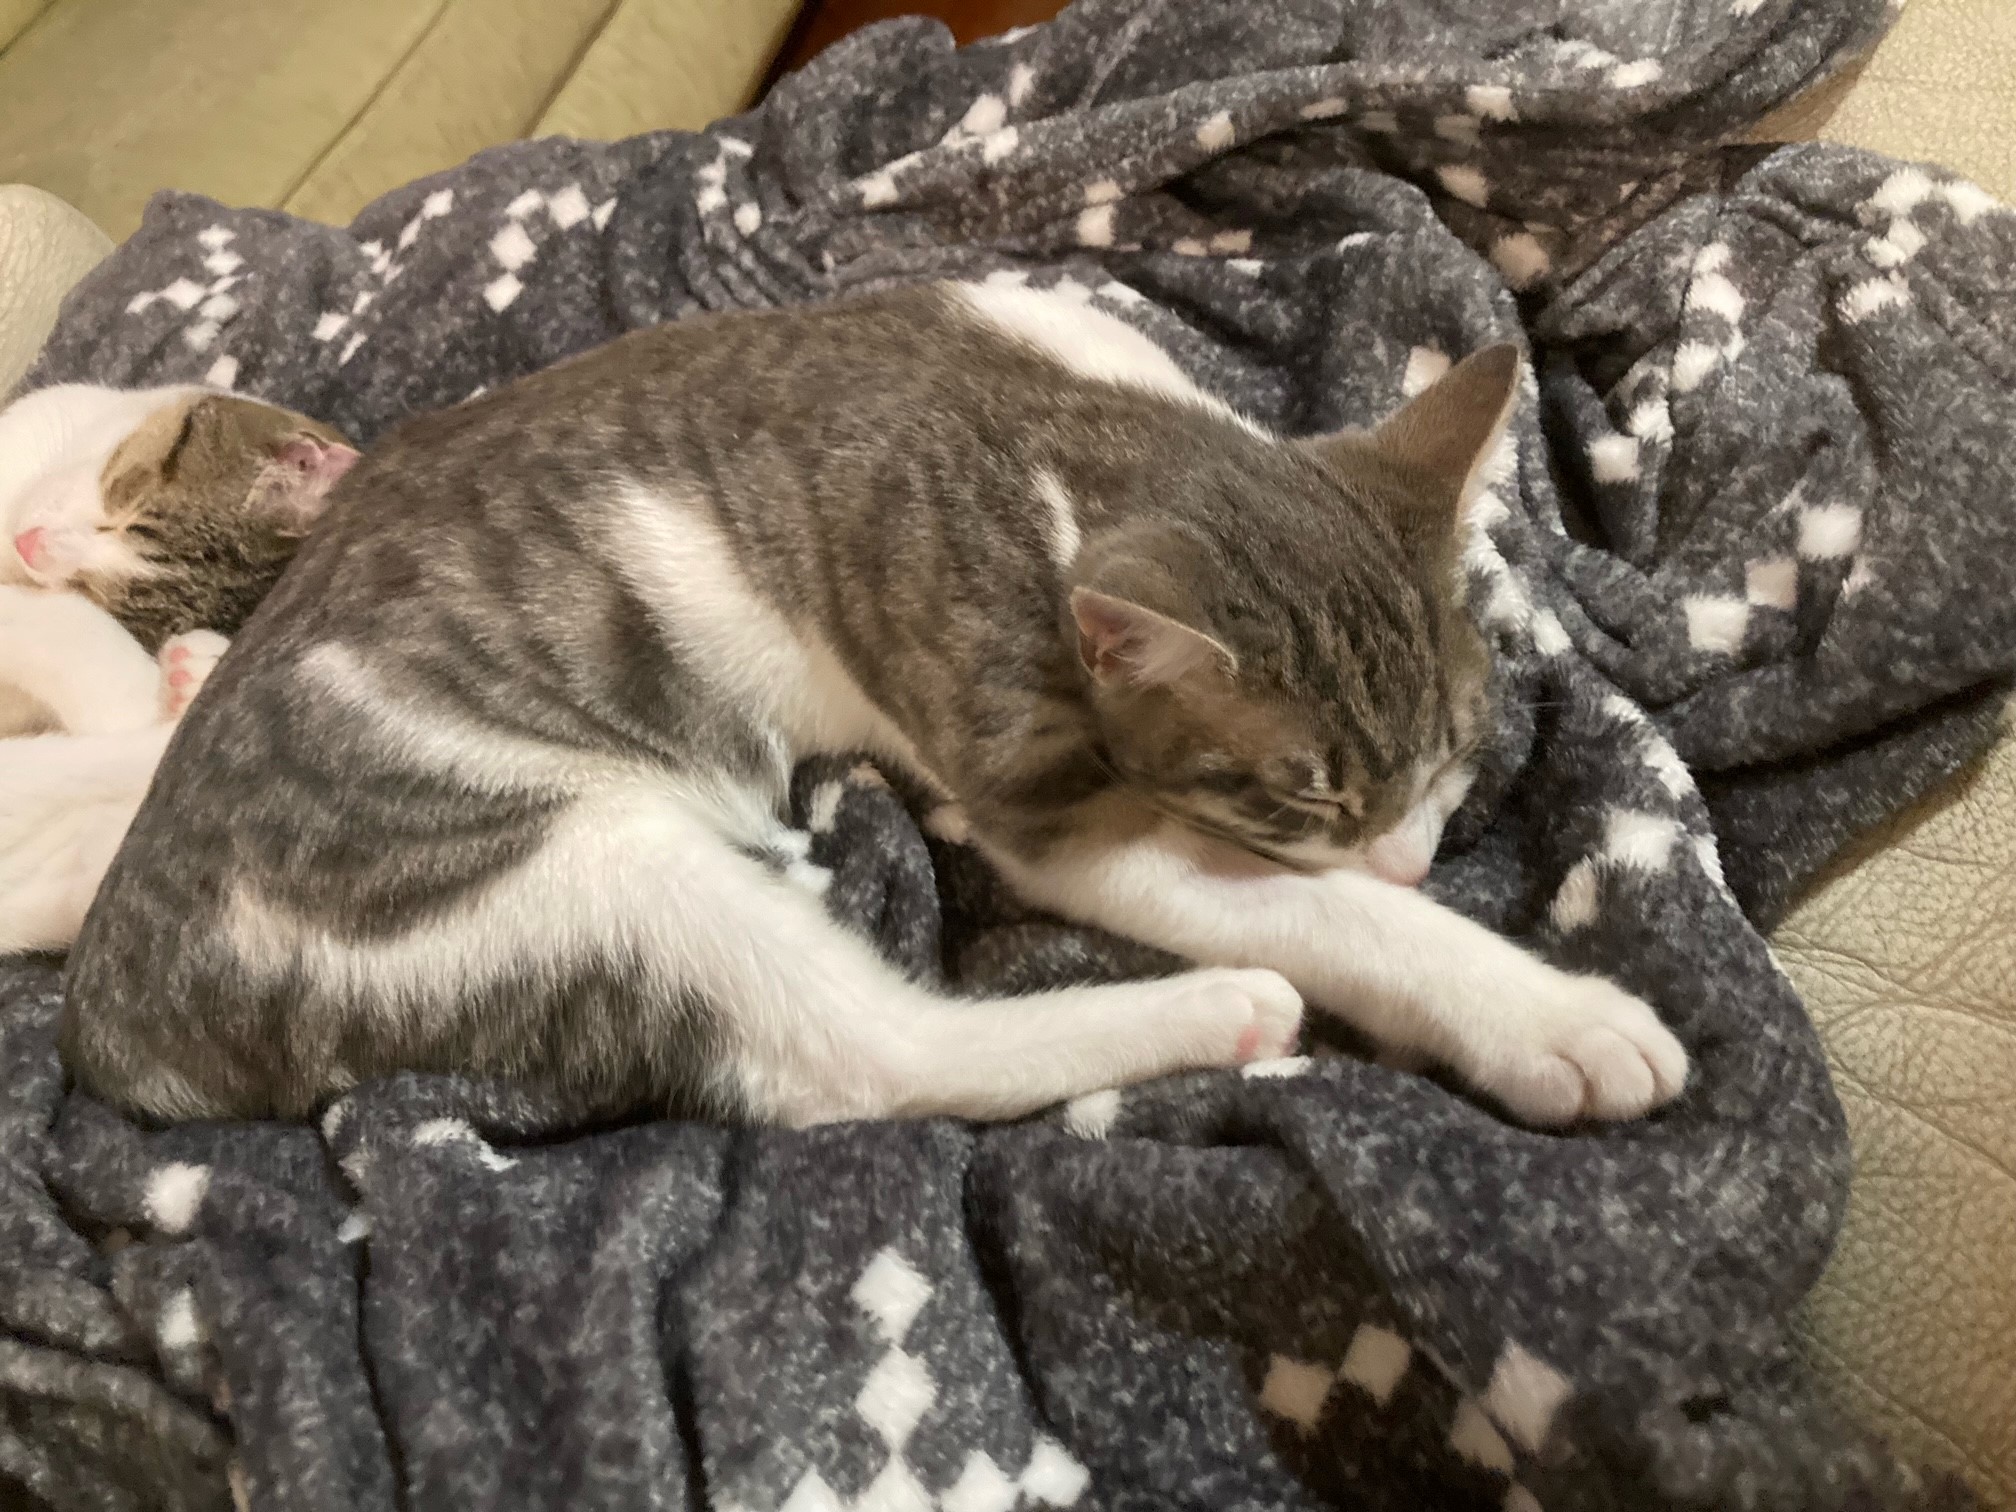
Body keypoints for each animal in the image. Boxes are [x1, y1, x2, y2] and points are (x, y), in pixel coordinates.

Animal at [61, 282, 1687, 1129]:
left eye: (1459, 755)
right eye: (1304, 795)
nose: (1414, 858)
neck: (1062, 433)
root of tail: (106, 1009)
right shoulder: (1047, 795)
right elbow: (1318, 910)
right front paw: (1547, 1011)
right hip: (544, 868)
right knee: (868, 1063)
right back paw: (1220, 1008)